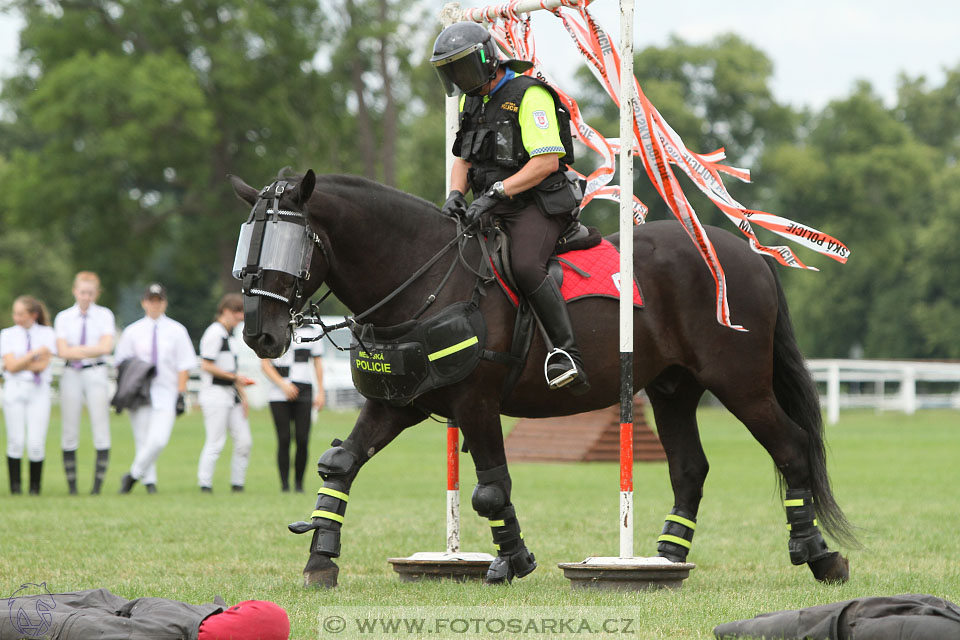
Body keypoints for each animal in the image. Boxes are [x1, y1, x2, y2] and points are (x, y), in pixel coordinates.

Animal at [232, 170, 856, 592]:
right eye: (248, 243)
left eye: (288, 242)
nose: (259, 335)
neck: (427, 276)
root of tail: (740, 253)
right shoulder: (398, 405)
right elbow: (340, 465)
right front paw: (321, 558)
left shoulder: (477, 403)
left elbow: (490, 488)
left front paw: (514, 560)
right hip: (673, 390)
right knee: (689, 467)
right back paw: (665, 560)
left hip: (740, 385)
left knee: (791, 445)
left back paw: (818, 554)